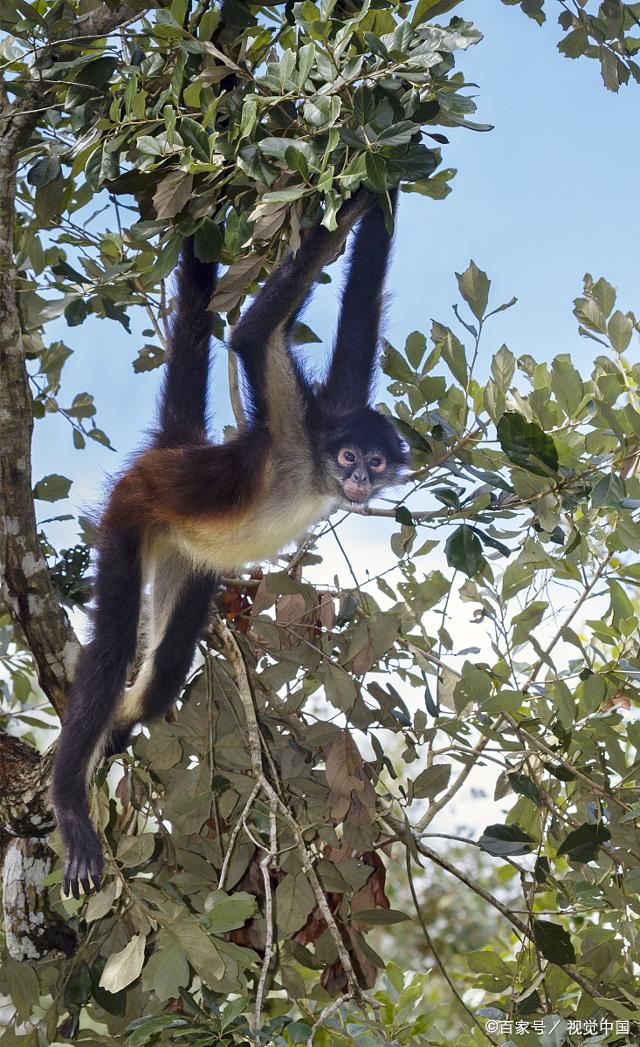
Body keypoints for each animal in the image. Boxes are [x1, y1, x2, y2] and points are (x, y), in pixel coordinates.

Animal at [52, 186, 408, 892]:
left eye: (376, 462)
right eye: (349, 457)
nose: (359, 478)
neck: (315, 469)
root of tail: (170, 454)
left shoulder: (331, 410)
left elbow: (359, 318)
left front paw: (386, 190)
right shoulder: (298, 427)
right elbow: (248, 336)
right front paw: (356, 194)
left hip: (182, 557)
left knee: (164, 670)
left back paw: (121, 724)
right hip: (129, 517)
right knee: (111, 649)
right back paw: (70, 805)